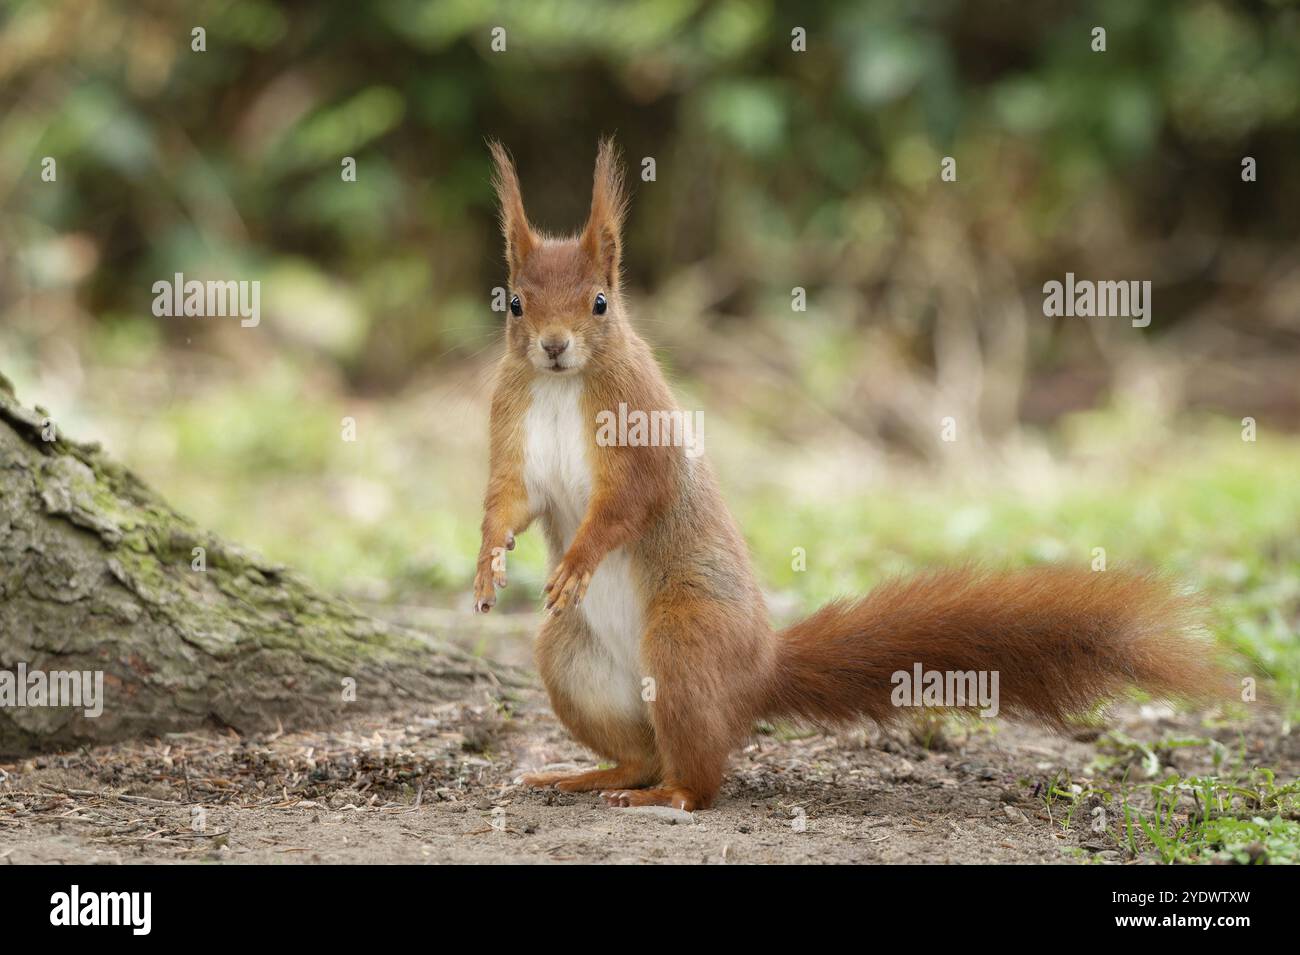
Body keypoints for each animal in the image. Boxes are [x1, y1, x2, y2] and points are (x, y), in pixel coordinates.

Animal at [475, 140, 1216, 815]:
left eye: (600, 303)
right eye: (514, 304)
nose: (553, 347)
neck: (560, 387)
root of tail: (757, 670)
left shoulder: (640, 428)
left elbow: (629, 501)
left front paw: (577, 561)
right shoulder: (513, 431)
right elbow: (510, 501)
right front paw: (488, 565)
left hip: (685, 642)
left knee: (699, 774)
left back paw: (669, 794)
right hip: (572, 659)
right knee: (640, 753)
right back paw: (584, 776)